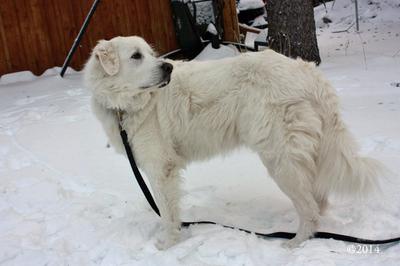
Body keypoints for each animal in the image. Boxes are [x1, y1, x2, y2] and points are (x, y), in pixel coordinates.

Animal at [83, 35, 382, 249]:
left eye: (151, 55)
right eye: (136, 56)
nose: (167, 67)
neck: (127, 106)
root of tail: (308, 72)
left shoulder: (161, 168)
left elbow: (166, 212)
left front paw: (167, 244)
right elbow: (165, 207)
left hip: (280, 159)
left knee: (309, 208)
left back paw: (295, 243)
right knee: (318, 199)